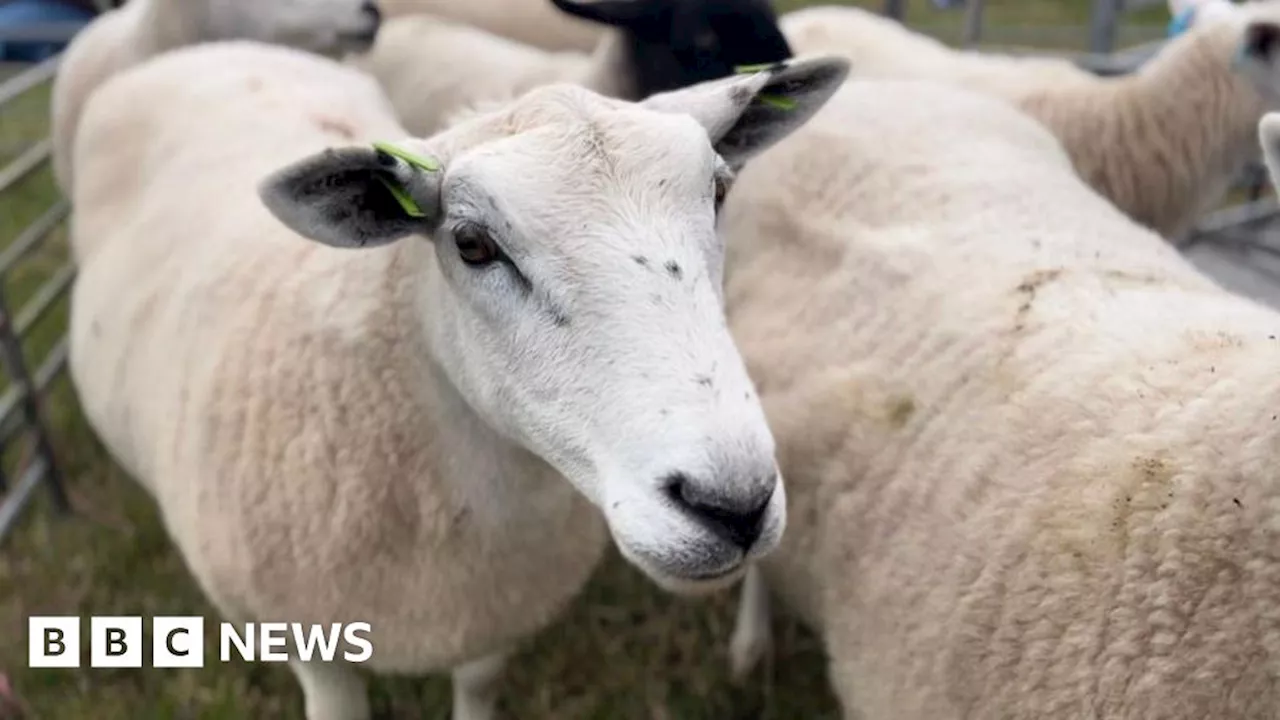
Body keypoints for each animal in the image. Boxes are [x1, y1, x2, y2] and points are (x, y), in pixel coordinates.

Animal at [67, 39, 849, 717]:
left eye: (718, 193)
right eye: (472, 244)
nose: (735, 506)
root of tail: (209, 49)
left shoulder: (492, 605)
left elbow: (476, 685)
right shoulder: (309, 638)